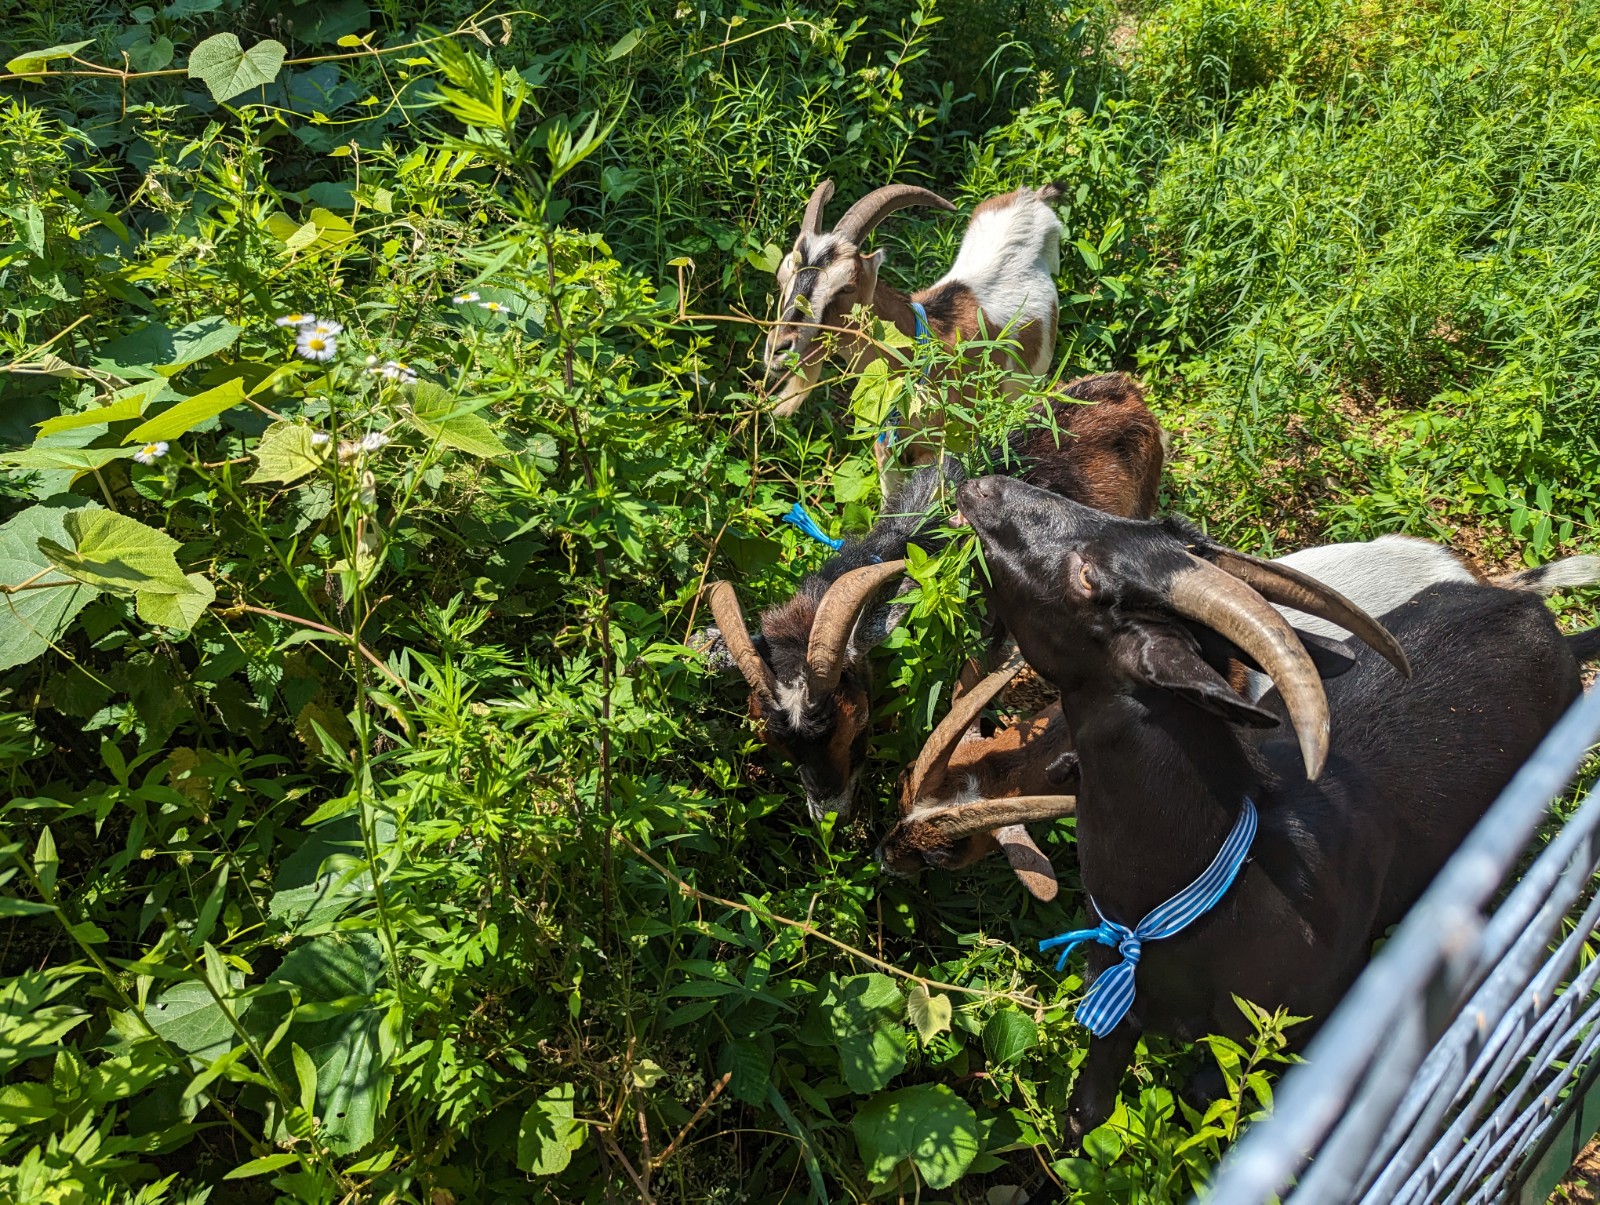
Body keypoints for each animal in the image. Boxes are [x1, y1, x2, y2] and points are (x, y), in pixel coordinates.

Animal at [700, 371, 1164, 825]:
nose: (833, 816)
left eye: (858, 724)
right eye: (773, 743)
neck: (922, 538)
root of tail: (1127, 389)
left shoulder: (990, 627)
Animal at [953, 470, 1593, 1139]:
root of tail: (1548, 626)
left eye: (1088, 577)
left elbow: (1208, 1092)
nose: (985, 486)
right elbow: (1088, 1113)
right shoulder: (1119, 1007)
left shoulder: (1279, 1037)